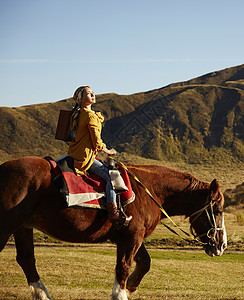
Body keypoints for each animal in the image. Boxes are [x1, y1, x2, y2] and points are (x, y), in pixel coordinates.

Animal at [0, 156, 227, 298]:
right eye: (218, 210)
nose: (222, 245)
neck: (149, 190)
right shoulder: (131, 237)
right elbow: (123, 267)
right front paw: (121, 293)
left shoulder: (133, 236)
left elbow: (144, 263)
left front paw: (131, 288)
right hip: (7, 226)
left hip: (23, 227)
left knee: (27, 260)